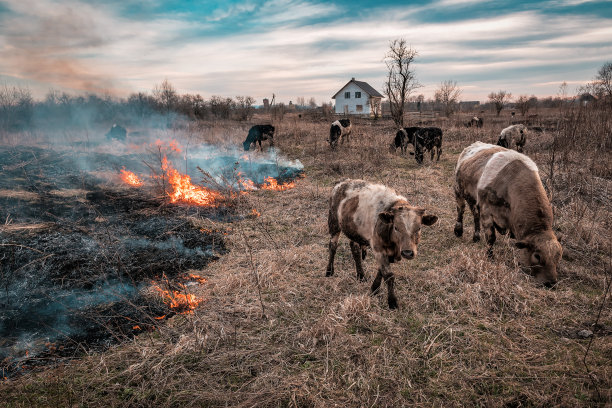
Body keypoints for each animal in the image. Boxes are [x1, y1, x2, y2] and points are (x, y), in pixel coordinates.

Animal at [328, 178, 438, 310]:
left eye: (419, 228)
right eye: (396, 227)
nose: (407, 253)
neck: (394, 245)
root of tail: (342, 183)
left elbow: (381, 270)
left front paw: (374, 289)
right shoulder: (378, 249)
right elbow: (388, 274)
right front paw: (392, 302)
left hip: (353, 230)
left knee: (355, 249)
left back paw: (360, 275)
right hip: (334, 223)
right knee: (333, 246)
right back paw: (329, 271)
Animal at [452, 142, 560, 286]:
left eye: (558, 256)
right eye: (537, 256)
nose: (551, 282)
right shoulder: (487, 211)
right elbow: (491, 238)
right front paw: (490, 256)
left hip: (473, 199)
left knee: (475, 214)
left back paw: (476, 236)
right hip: (458, 189)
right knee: (460, 209)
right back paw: (458, 230)